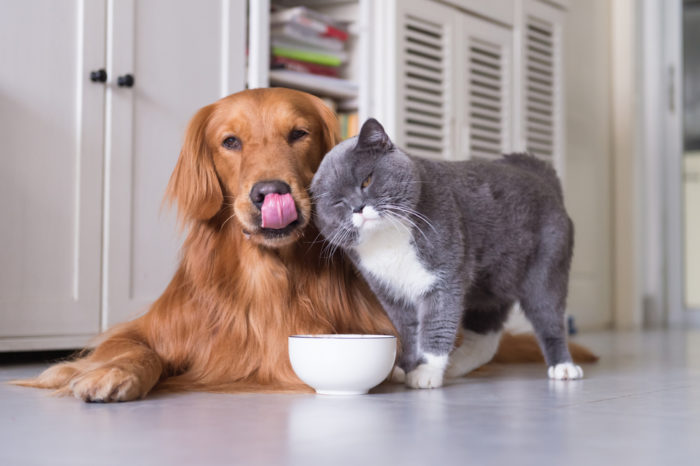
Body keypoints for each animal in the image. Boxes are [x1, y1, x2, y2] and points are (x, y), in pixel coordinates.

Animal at [310, 118, 580, 388]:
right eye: (338, 202)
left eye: (366, 181)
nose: (358, 207)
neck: (387, 239)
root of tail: (543, 177)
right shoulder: (391, 293)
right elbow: (407, 332)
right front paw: (405, 368)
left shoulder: (443, 279)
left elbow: (437, 326)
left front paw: (426, 372)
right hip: (490, 288)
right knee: (486, 338)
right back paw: (455, 366)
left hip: (545, 271)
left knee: (549, 318)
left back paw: (563, 367)